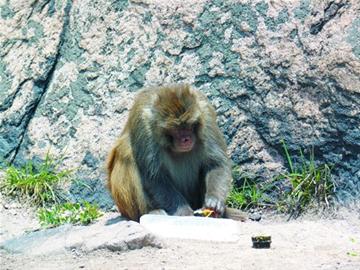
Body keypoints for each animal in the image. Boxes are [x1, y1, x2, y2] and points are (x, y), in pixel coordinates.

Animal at [107, 84, 246, 221]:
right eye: (176, 129)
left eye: (189, 125)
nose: (186, 139)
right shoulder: (142, 122)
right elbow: (154, 176)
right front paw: (184, 212)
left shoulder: (205, 113)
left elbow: (216, 163)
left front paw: (214, 201)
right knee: (126, 150)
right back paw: (151, 212)